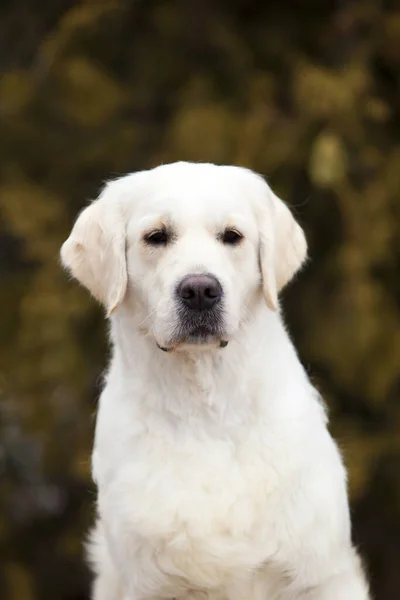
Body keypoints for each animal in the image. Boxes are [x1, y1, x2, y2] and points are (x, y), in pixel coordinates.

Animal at [61, 163, 370, 600]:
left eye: (232, 236)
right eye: (156, 236)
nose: (200, 290)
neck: (206, 413)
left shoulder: (320, 574)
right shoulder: (152, 583)